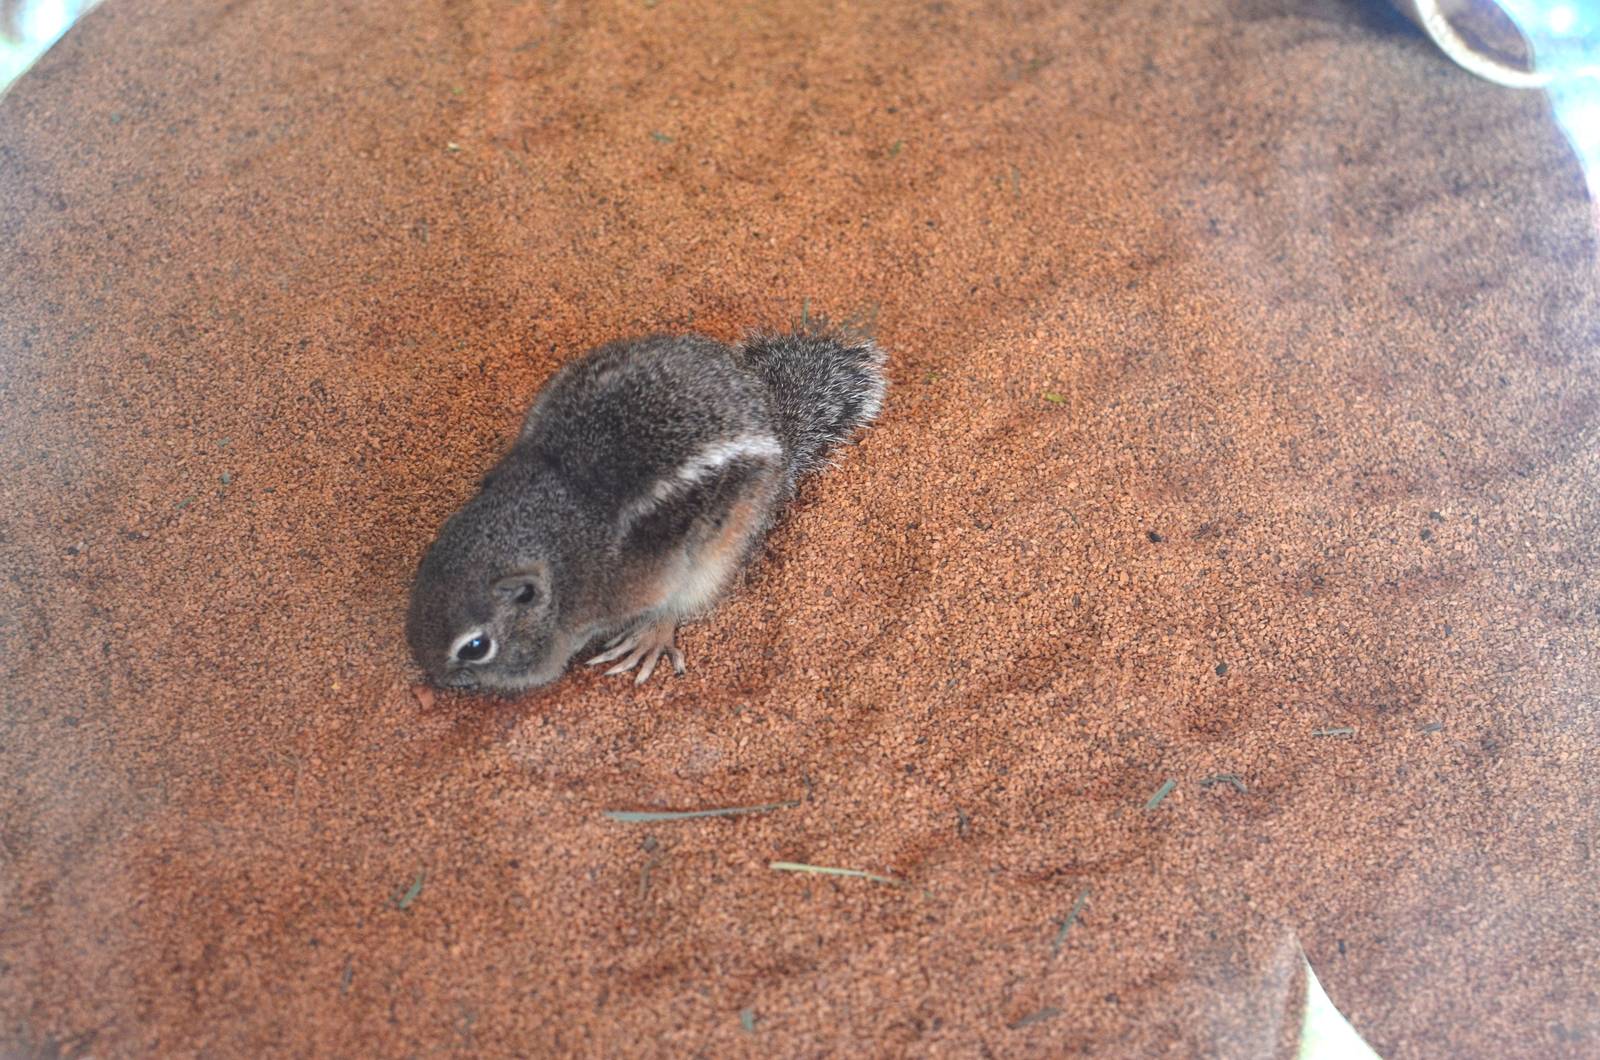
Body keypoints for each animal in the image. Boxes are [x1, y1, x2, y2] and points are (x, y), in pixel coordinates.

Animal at [405, 329, 887, 692]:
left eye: (474, 647)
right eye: (420, 580)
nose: (436, 678)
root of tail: (777, 421)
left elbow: (668, 604)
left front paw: (651, 634)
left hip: (728, 538)